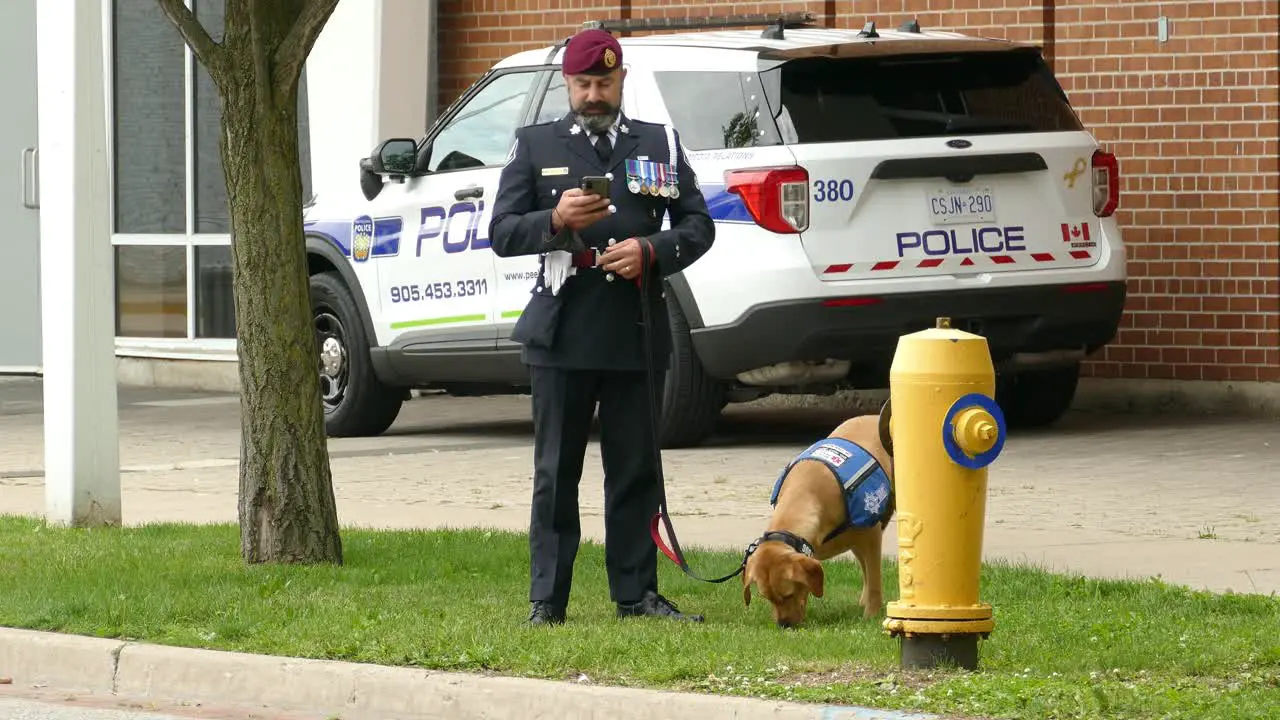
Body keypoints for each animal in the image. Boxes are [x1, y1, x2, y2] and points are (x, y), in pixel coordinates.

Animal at [742, 412, 890, 625]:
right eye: (767, 598)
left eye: (788, 595)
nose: (783, 625)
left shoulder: (871, 535)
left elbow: (875, 579)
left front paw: (871, 614)